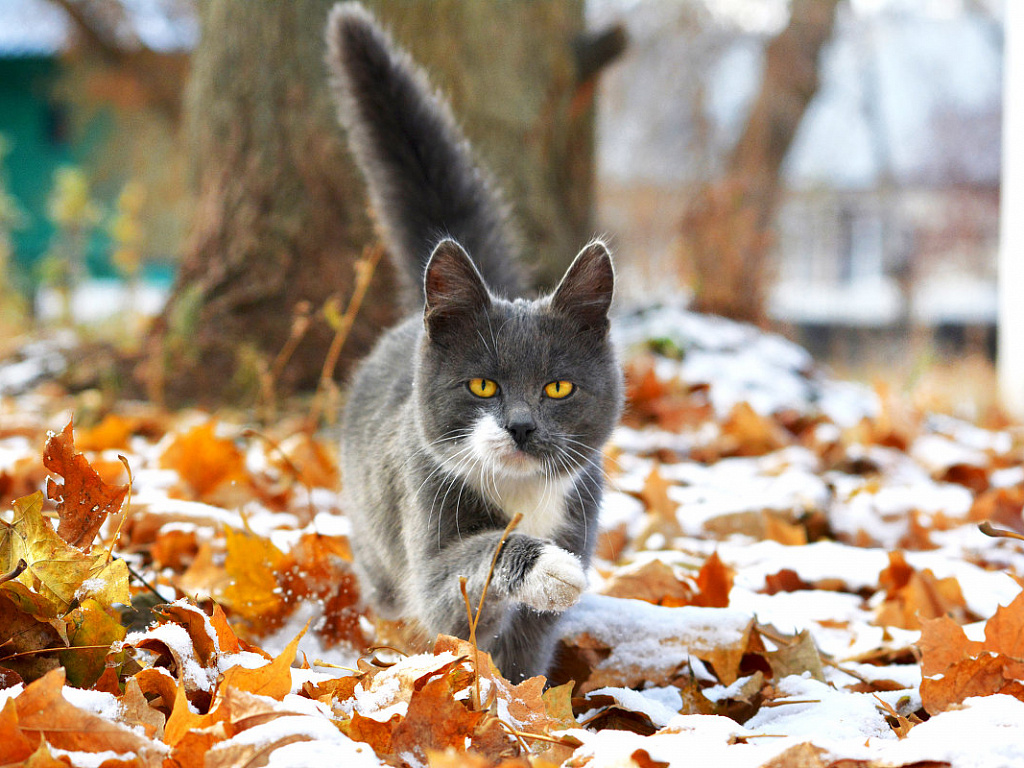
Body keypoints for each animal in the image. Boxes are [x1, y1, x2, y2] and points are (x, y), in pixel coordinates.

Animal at [325, 3, 622, 684]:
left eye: (558, 387)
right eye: (482, 384)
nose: (521, 426)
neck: (521, 494)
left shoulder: (580, 511)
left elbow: (527, 653)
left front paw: (526, 695)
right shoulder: (426, 518)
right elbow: (462, 579)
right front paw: (548, 568)